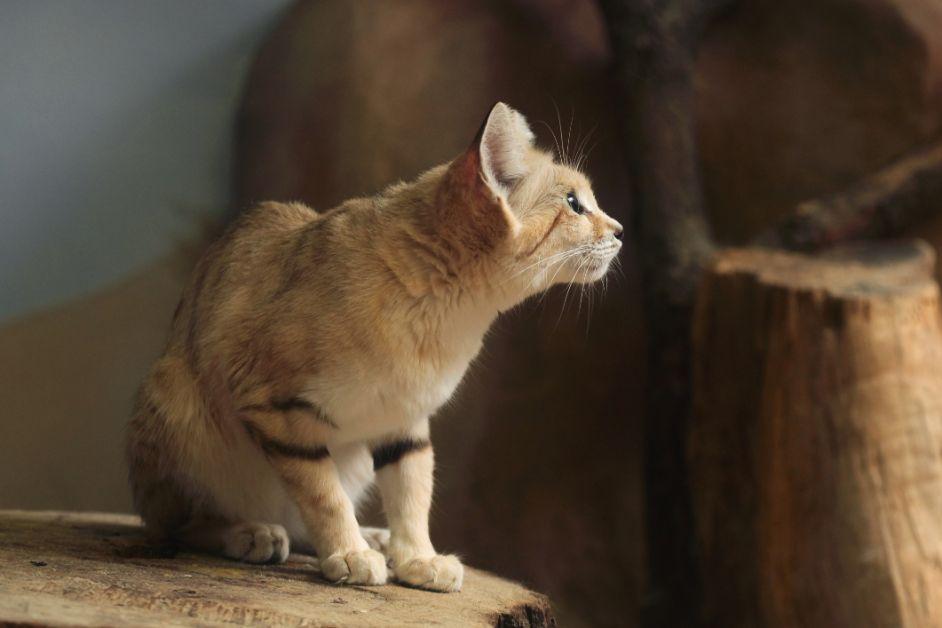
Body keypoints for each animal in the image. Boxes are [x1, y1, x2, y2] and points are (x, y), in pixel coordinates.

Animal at [127, 102, 628, 588]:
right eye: (573, 203)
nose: (621, 230)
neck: (447, 311)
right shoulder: (277, 407)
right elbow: (324, 494)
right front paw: (348, 553)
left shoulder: (406, 419)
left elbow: (412, 492)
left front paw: (417, 558)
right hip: (176, 409)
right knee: (173, 524)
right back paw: (248, 531)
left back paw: (370, 537)